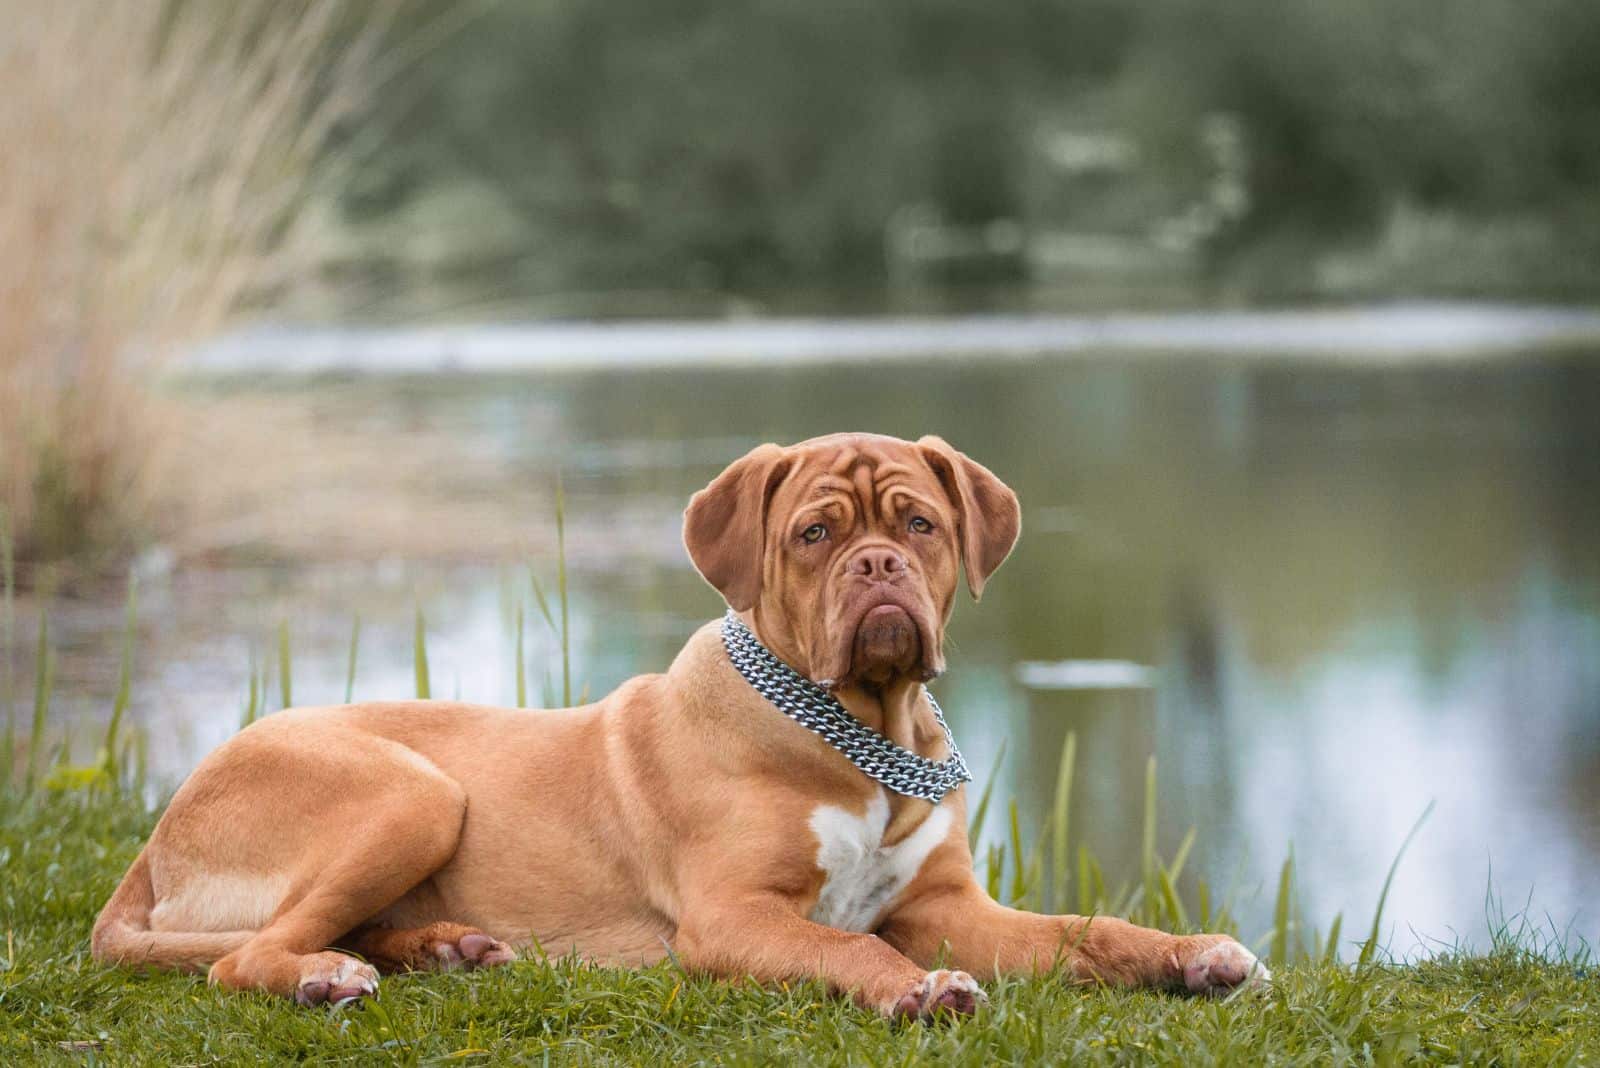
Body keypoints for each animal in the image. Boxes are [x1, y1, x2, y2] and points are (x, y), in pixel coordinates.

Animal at [93, 434, 1267, 1016]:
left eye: (920, 523)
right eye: (814, 535)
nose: (878, 568)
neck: (863, 736)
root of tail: (159, 835)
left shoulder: (949, 908)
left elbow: (1087, 930)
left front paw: (1191, 957)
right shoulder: (735, 917)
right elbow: (850, 949)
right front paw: (919, 992)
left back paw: (446, 947)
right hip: (413, 790)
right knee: (248, 956)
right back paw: (327, 976)